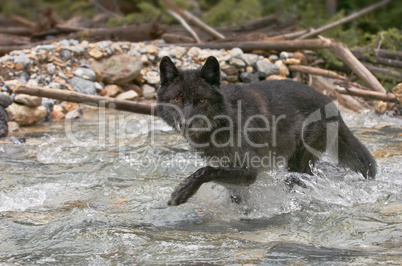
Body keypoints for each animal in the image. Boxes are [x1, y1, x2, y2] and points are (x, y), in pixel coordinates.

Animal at [157, 55, 376, 206]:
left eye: (201, 100)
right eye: (176, 99)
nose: (185, 123)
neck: (225, 120)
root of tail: (332, 104)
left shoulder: (249, 171)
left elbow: (206, 170)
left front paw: (183, 192)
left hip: (297, 164)